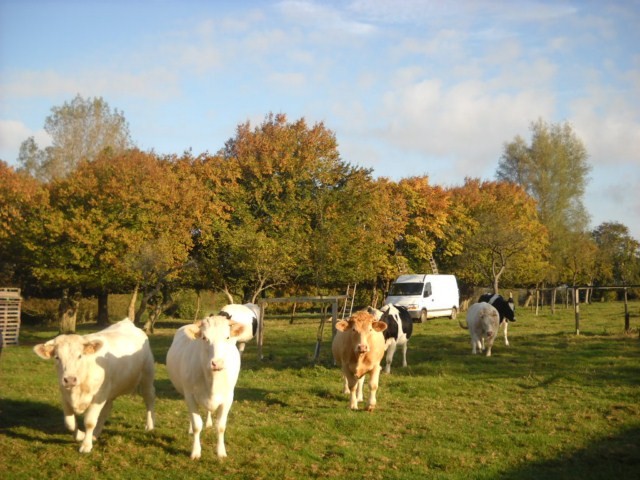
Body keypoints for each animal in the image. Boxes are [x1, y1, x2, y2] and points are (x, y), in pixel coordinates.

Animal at [33, 320, 155, 452]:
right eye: (57, 357)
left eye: (80, 356)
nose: (70, 379)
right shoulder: (64, 396)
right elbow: (70, 423)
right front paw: (81, 435)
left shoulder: (98, 396)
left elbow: (89, 422)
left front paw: (86, 445)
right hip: (109, 391)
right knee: (105, 412)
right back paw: (95, 434)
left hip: (147, 378)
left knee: (149, 399)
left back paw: (150, 425)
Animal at [166, 314, 246, 460]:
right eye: (204, 338)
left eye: (227, 337)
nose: (217, 363)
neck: (212, 381)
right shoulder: (190, 396)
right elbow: (197, 425)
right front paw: (195, 452)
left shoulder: (228, 398)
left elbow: (221, 426)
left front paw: (221, 452)